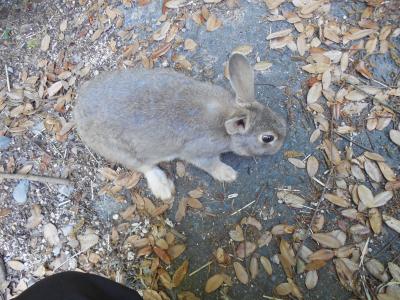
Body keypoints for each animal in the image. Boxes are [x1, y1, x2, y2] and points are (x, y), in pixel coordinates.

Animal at [74, 54, 288, 202]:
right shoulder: (198, 152)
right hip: (124, 151)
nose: (283, 141)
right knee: (144, 166)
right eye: (267, 138)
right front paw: (229, 174)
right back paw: (163, 189)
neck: (227, 120)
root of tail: (78, 113)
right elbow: (210, 164)